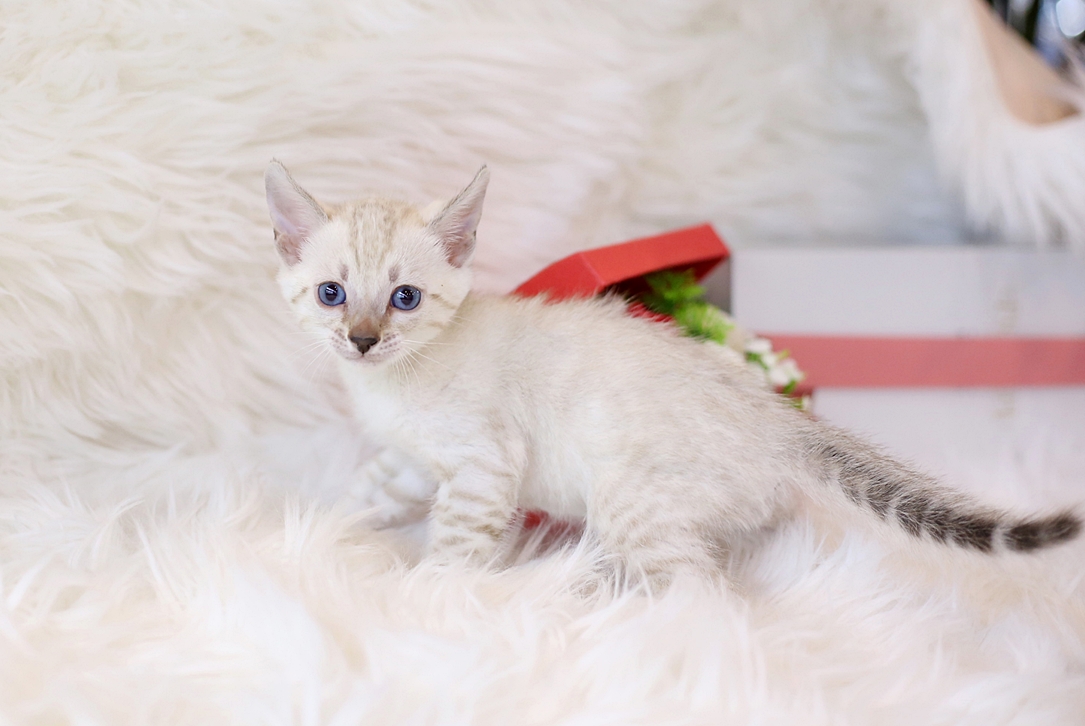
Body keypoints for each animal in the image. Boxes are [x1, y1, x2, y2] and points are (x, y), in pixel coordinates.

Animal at [265, 159, 1080, 589]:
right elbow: (364, 495)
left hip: (631, 502)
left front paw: (424, 601)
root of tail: (774, 419)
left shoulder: (482, 465)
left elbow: (454, 550)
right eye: (332, 294)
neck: (396, 382)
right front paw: (305, 534)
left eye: (404, 298)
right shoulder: (414, 459)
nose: (362, 340)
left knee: (705, 598)